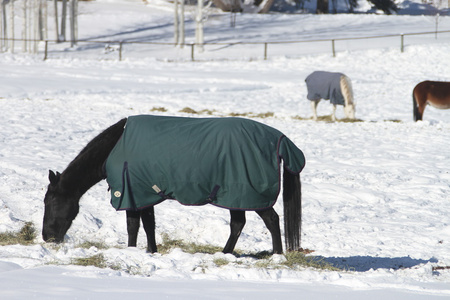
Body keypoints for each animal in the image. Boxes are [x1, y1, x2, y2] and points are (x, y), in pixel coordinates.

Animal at [43, 116, 306, 254]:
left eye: (49, 201)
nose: (47, 237)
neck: (115, 148)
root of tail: (279, 140)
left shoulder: (136, 192)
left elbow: (140, 225)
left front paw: (141, 251)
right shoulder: (138, 193)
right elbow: (140, 225)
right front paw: (142, 251)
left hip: (249, 195)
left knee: (270, 220)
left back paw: (277, 254)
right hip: (236, 197)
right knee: (239, 224)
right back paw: (226, 253)